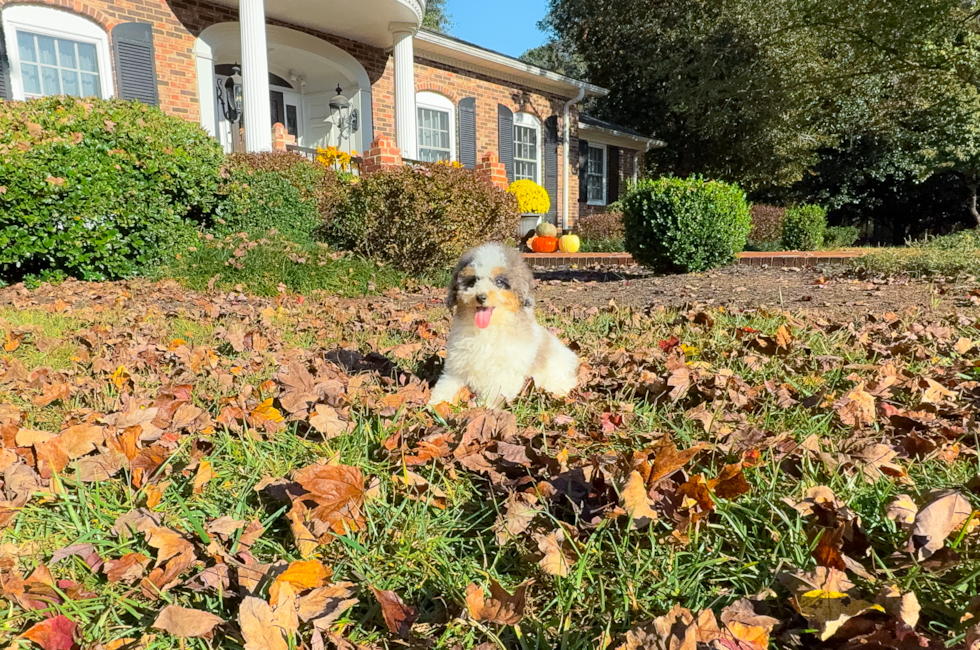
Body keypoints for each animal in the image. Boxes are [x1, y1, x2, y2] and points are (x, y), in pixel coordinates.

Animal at [430, 242, 580, 404]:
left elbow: (496, 392)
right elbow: (446, 384)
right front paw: (436, 403)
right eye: (472, 281)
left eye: (499, 282)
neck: (487, 329)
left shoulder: (505, 372)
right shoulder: (457, 364)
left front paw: (483, 406)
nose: (480, 297)